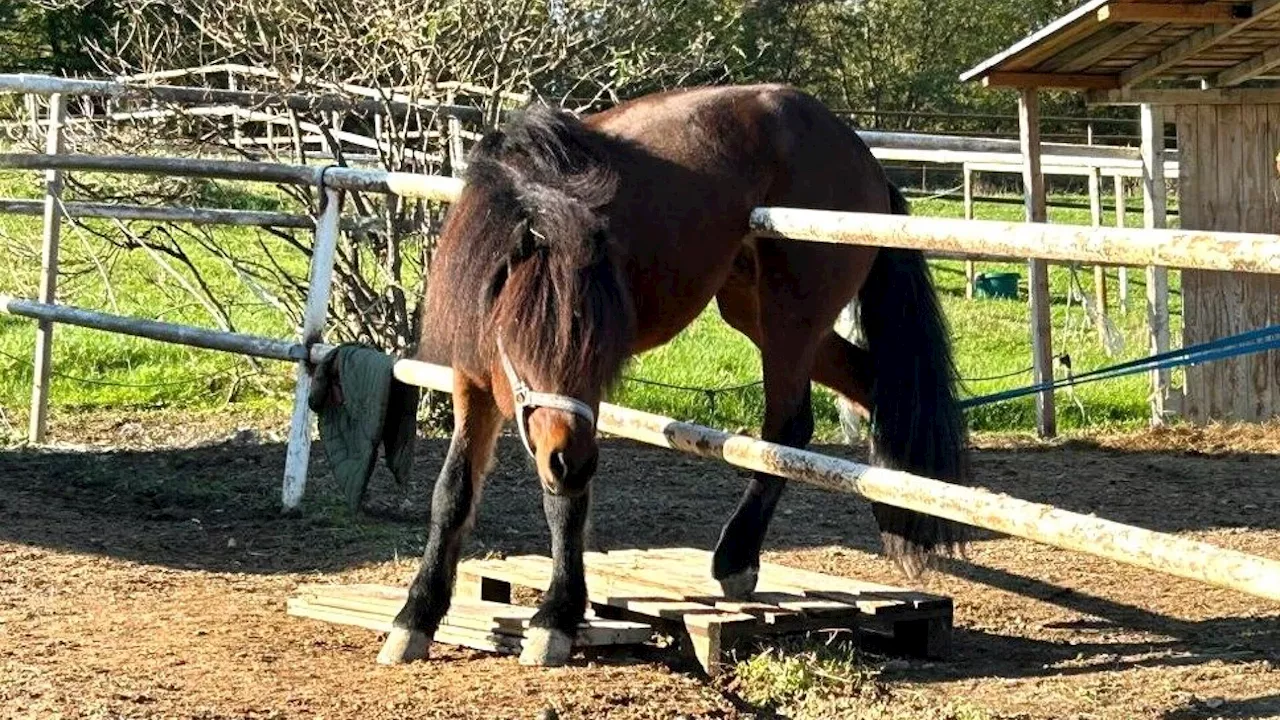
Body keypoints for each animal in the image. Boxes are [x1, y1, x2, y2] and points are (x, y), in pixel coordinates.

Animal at [378, 85, 967, 666]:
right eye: (516, 342)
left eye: (596, 349)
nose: (568, 462)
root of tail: (860, 153)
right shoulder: (474, 380)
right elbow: (452, 494)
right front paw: (415, 617)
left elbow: (565, 505)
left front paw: (556, 618)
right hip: (752, 309)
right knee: (879, 392)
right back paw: (904, 509)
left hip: (790, 320)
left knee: (789, 429)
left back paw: (737, 558)